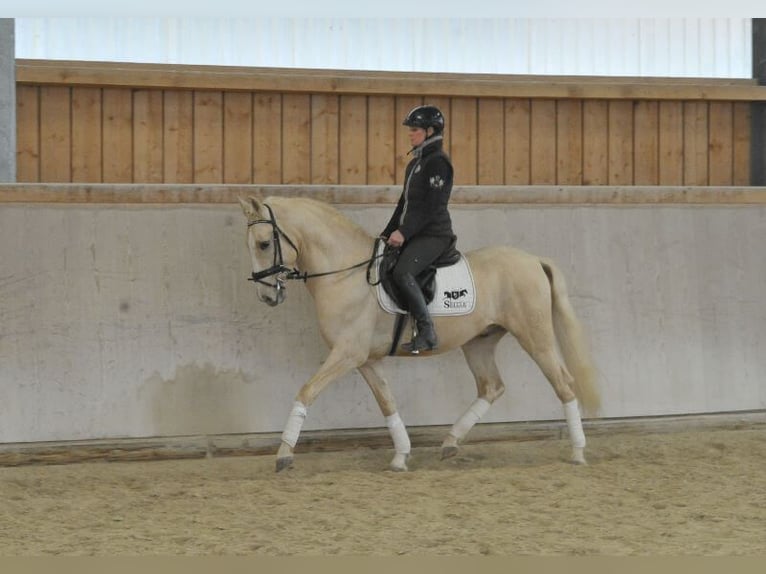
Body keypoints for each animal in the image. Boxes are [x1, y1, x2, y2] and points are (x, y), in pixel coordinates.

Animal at [238, 196, 600, 474]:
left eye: (264, 243)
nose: (267, 296)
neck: (346, 274)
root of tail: (533, 260)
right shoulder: (366, 359)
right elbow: (387, 403)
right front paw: (401, 456)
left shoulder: (347, 354)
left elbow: (306, 391)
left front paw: (284, 454)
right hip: (479, 342)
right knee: (492, 387)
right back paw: (450, 443)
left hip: (534, 337)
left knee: (564, 384)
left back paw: (578, 452)